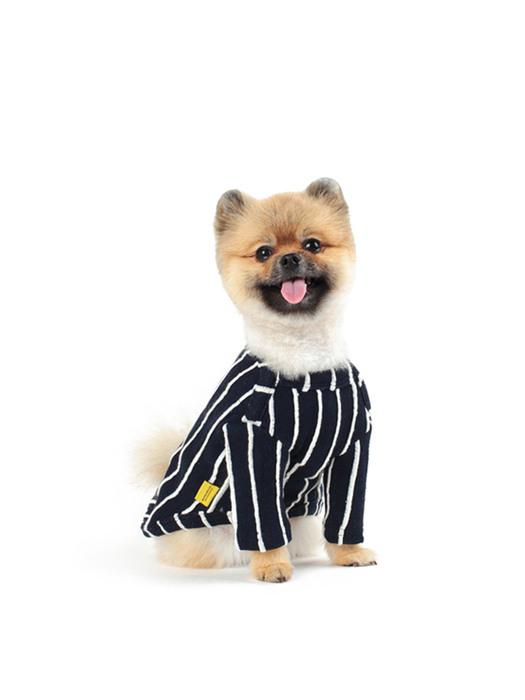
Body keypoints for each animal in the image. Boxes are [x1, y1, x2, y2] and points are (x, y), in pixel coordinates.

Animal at [137, 178, 376, 582]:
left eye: (312, 244)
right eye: (263, 252)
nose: (289, 258)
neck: (306, 365)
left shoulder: (354, 445)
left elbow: (345, 513)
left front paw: (350, 553)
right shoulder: (250, 444)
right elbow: (263, 520)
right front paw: (271, 565)